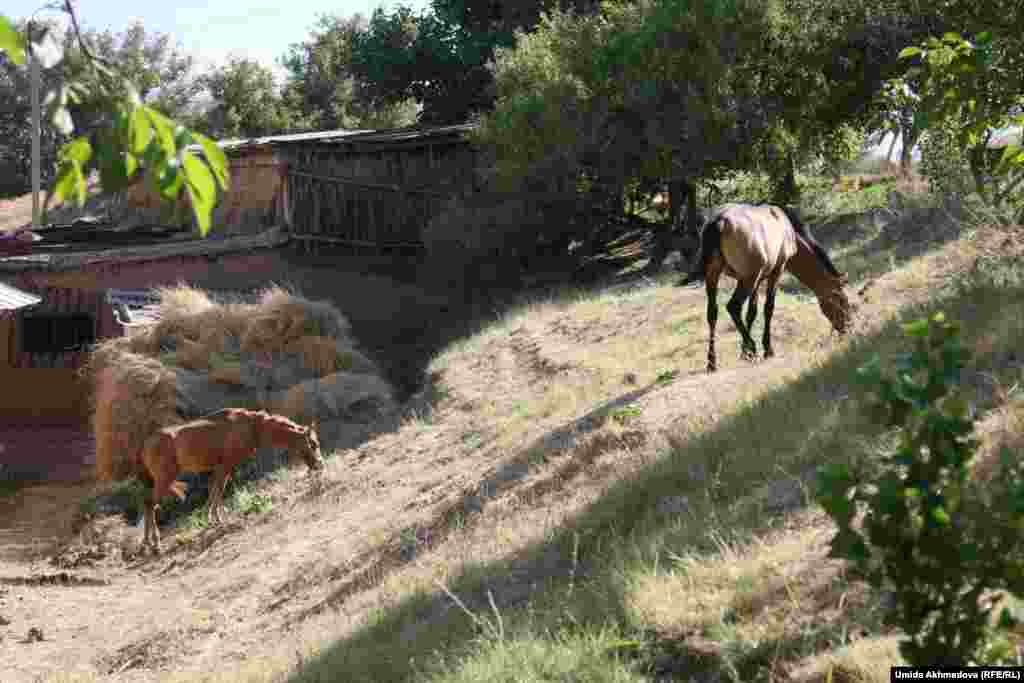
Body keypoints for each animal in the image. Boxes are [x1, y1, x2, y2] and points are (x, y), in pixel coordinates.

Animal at [138, 409, 323, 552]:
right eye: (313, 444)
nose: (319, 464)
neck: (254, 427)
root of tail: (145, 446)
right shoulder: (226, 465)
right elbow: (218, 491)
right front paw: (218, 519)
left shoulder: (220, 468)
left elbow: (214, 491)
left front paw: (211, 519)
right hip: (165, 477)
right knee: (149, 503)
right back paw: (154, 543)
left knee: (149, 504)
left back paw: (147, 544)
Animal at [679, 202, 847, 374]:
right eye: (842, 300)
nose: (847, 327)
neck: (786, 227)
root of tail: (719, 221)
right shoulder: (775, 272)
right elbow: (768, 308)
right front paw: (766, 349)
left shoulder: (757, 281)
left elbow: (751, 313)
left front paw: (744, 352)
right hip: (747, 279)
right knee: (733, 307)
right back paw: (752, 347)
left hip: (714, 275)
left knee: (712, 313)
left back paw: (712, 361)